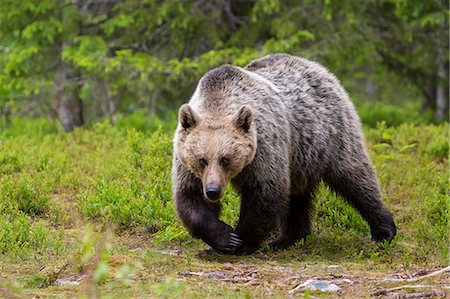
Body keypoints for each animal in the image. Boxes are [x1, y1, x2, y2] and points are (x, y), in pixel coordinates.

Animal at [171, 54, 396, 255]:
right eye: (201, 159)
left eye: (225, 159)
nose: (212, 191)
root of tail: (317, 67)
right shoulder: (187, 163)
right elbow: (190, 198)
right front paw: (225, 238)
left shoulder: (265, 149)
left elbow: (265, 192)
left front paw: (241, 242)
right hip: (301, 159)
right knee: (298, 196)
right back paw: (287, 239)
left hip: (332, 135)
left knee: (355, 178)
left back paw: (384, 230)